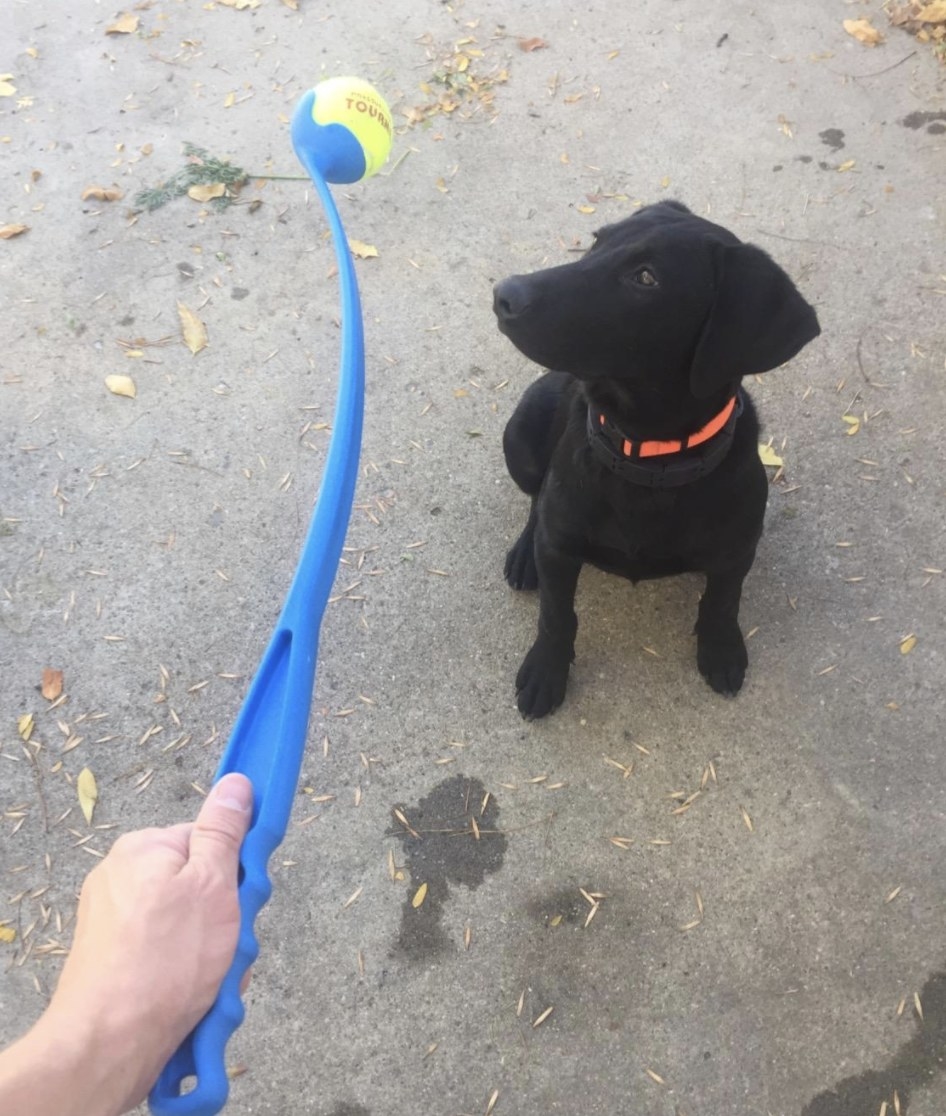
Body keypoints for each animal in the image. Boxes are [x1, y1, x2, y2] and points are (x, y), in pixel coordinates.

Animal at [495, 200, 821, 718]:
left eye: (646, 278)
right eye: (597, 241)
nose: (504, 295)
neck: (649, 459)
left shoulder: (737, 551)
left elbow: (722, 602)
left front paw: (720, 649)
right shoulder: (561, 547)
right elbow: (555, 615)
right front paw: (546, 670)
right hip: (521, 437)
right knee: (536, 501)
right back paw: (526, 551)